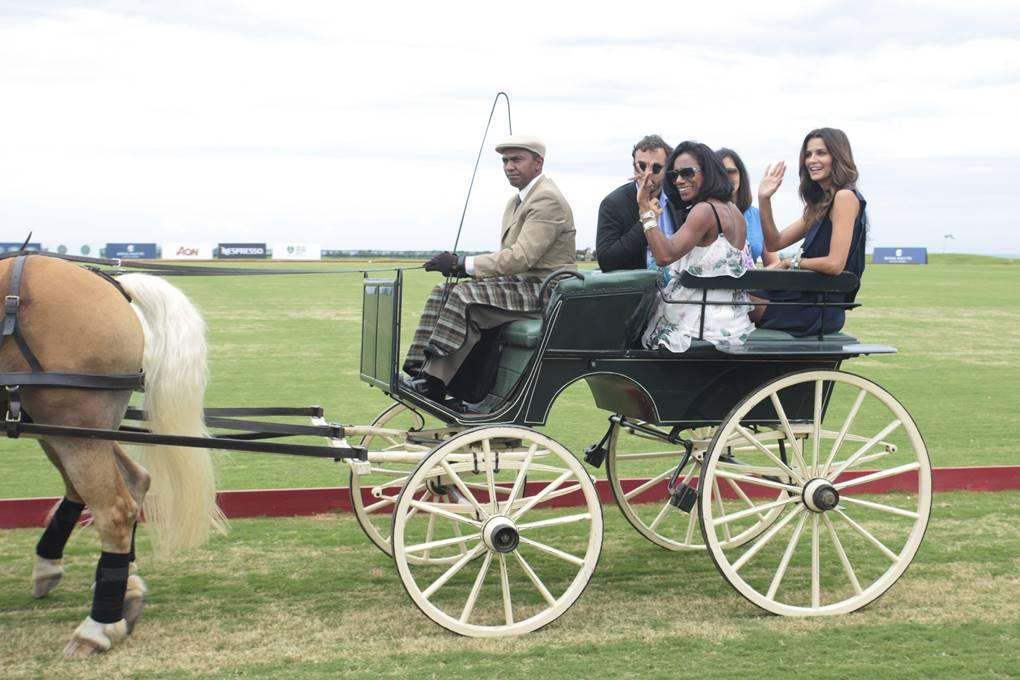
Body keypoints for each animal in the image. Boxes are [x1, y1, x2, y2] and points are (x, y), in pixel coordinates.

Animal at [0, 254, 225, 660]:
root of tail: (113, 284)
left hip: (72, 422)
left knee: (114, 509)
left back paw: (98, 627)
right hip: (65, 425)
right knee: (132, 482)